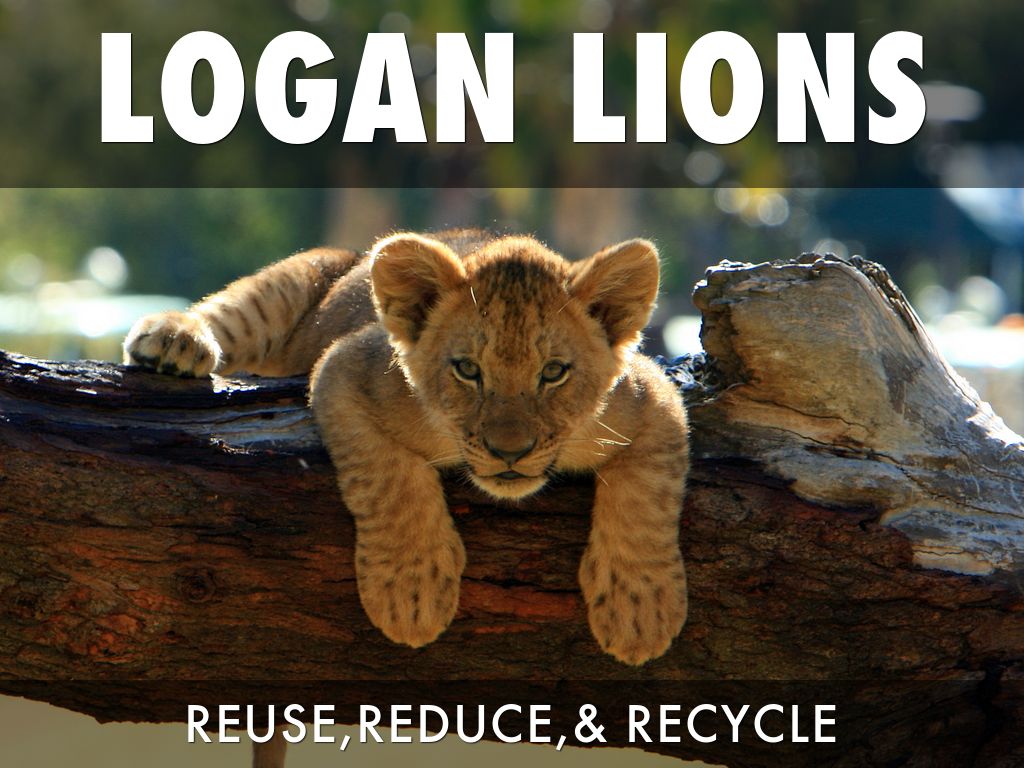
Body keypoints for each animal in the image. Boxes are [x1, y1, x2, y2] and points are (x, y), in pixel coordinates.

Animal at [124, 230, 689, 668]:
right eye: (467, 370)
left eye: (553, 373)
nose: (509, 452)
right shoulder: (344, 369)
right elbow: (388, 480)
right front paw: (410, 595)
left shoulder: (655, 397)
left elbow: (648, 496)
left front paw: (641, 610)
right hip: (304, 272)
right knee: (229, 311)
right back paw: (173, 340)